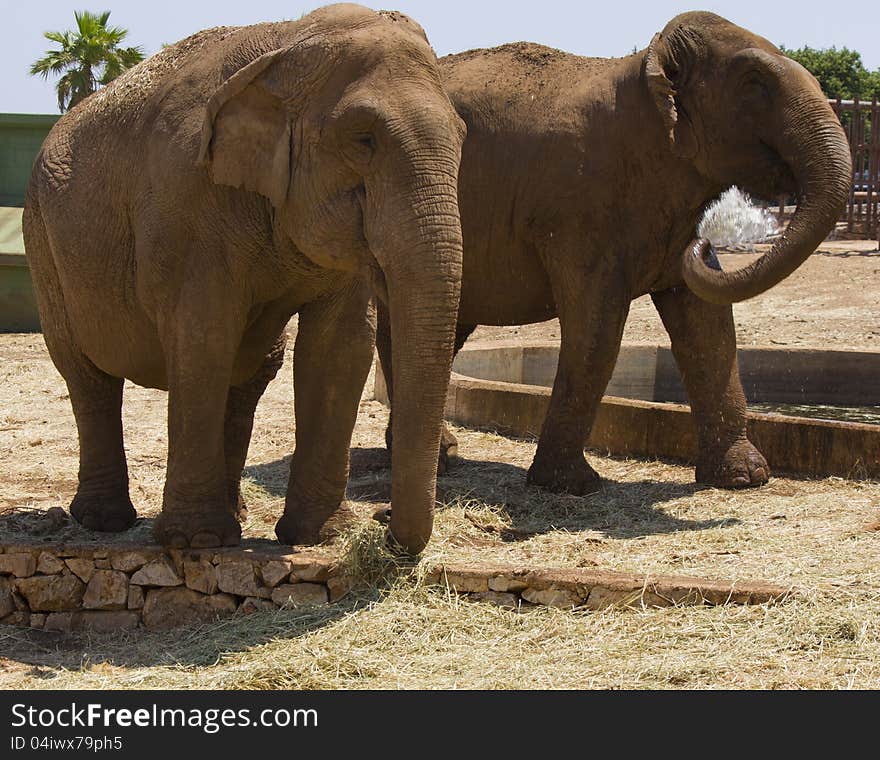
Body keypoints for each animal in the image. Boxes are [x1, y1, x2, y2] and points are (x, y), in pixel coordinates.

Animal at [24, 2, 468, 556]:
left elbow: (340, 348)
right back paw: (106, 522)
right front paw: (195, 542)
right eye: (363, 139)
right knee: (86, 374)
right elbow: (204, 335)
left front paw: (320, 536)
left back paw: (233, 514)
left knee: (249, 377)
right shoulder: (186, 205)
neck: (288, 43)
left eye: (462, 137)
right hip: (43, 243)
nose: (383, 520)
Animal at [372, 13, 852, 498]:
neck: (643, 69)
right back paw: (438, 461)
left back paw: (436, 456)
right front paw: (573, 485)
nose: (706, 245)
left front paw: (745, 478)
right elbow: (598, 329)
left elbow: (710, 329)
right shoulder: (578, 211)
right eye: (754, 82)